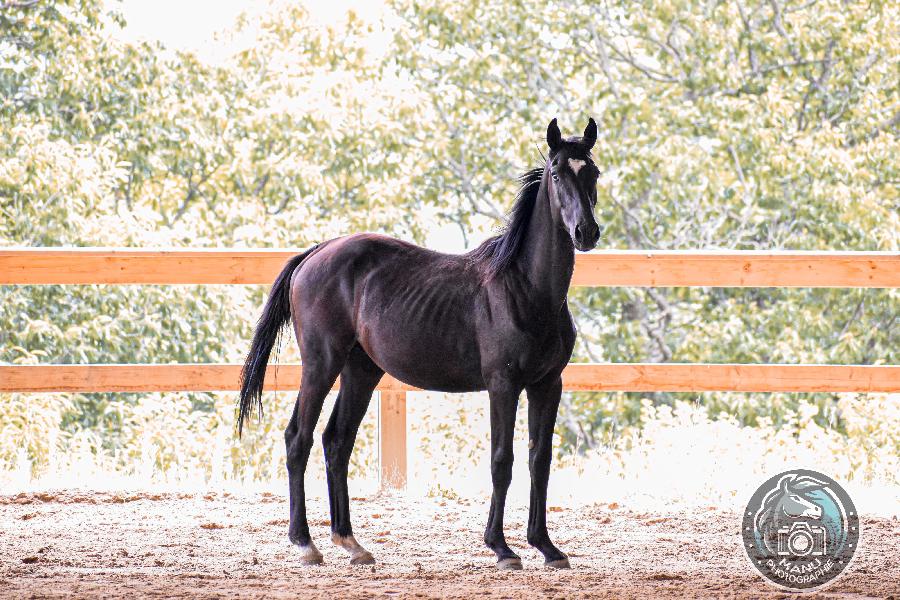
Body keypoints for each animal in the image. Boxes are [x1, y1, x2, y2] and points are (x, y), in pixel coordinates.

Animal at [237, 117, 601, 570]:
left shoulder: (548, 385)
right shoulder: (502, 385)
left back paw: (351, 543)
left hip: (361, 371)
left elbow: (541, 459)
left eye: (593, 172)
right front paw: (501, 548)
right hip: (321, 365)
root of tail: (316, 253)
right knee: (297, 439)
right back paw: (305, 543)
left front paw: (547, 547)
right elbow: (502, 460)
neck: (525, 289)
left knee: (336, 442)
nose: (586, 232)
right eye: (556, 174)